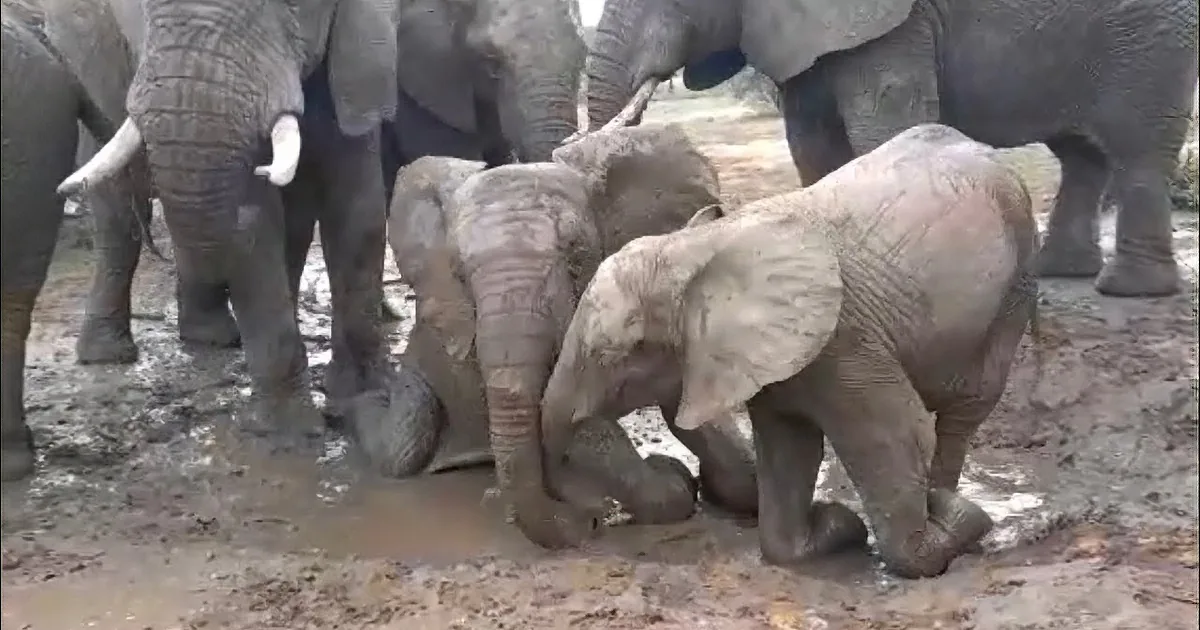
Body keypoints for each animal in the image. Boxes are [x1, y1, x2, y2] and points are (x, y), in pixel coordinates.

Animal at [50, 0, 400, 441]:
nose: (263, 174)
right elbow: (263, 226)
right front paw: (289, 432)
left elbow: (358, 204)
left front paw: (363, 394)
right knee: (117, 217)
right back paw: (108, 354)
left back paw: (212, 337)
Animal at [373, 125, 758, 526]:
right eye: (458, 274)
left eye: (575, 254)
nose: (582, 516)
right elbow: (576, 424)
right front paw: (674, 480)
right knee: (404, 446)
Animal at [520, 124, 1038, 578]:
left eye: (620, 352)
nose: (588, 519)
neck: (695, 249)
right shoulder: (773, 363)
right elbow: (786, 450)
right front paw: (838, 525)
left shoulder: (843, 342)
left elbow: (892, 436)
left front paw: (944, 527)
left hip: (1014, 281)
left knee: (965, 407)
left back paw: (944, 496)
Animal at [583, 0, 1199, 298]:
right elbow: (812, 142)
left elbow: (886, 125)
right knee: (1081, 154)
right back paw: (1059, 271)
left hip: (1151, 42)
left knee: (1137, 154)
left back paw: (1129, 291)